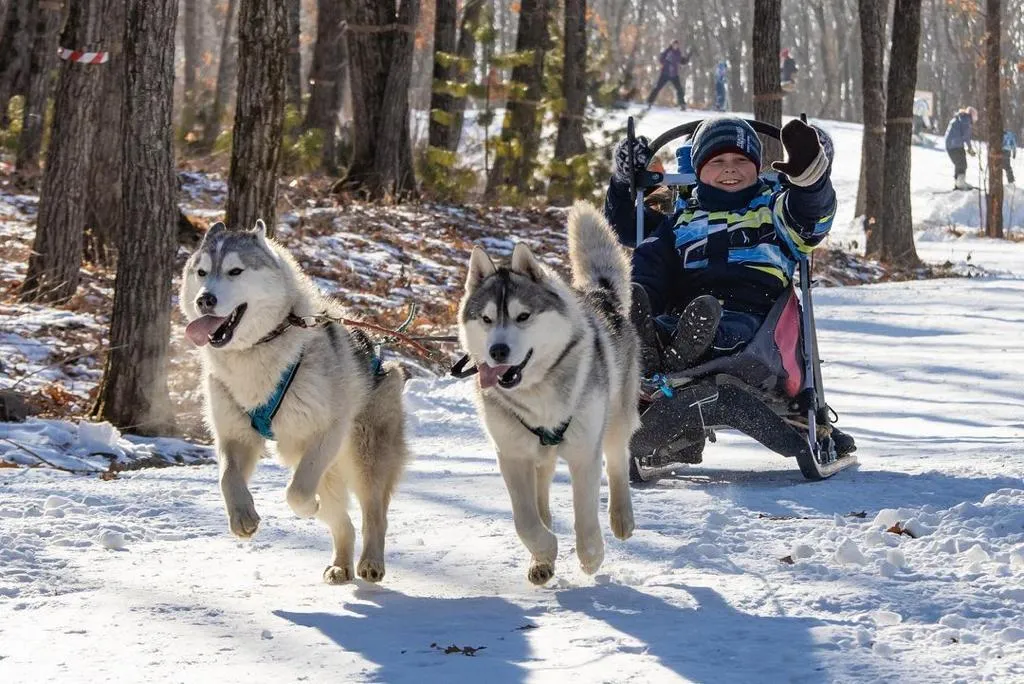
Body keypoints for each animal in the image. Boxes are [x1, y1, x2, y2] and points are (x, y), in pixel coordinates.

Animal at [180, 220, 407, 581]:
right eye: (201, 272)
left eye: (235, 271)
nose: (205, 299)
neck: (256, 352)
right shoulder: (234, 436)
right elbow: (227, 477)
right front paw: (242, 516)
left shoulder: (327, 431)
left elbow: (297, 493)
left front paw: (307, 505)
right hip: (318, 465)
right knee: (344, 523)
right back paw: (341, 565)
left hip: (364, 458)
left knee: (373, 515)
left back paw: (370, 562)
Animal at [458, 200, 634, 585]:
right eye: (487, 319)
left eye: (523, 316)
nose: (497, 351)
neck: (537, 392)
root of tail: (599, 295)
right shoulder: (511, 455)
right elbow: (526, 521)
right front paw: (545, 551)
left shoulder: (584, 452)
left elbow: (585, 513)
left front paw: (591, 556)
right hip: (539, 455)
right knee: (542, 500)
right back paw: (541, 560)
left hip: (616, 418)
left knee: (618, 460)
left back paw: (621, 517)